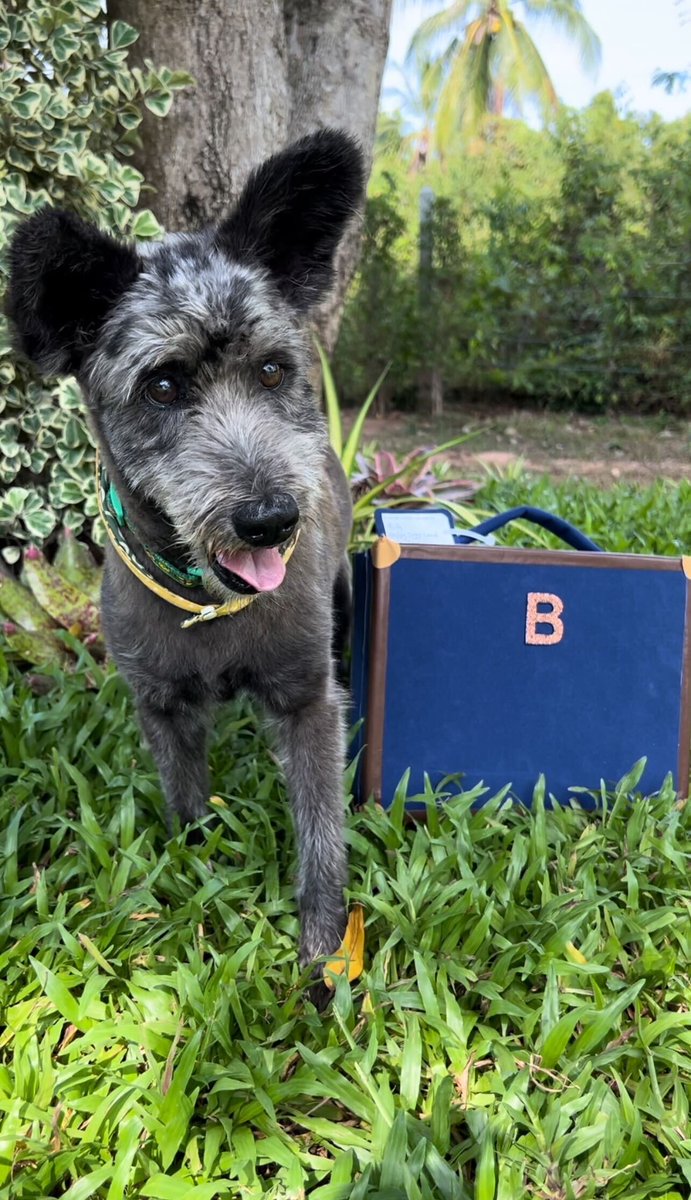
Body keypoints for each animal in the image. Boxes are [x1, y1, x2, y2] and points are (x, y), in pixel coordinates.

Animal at [8, 129, 364, 984]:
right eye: (163, 386)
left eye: (272, 369)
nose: (271, 519)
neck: (210, 605)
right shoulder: (161, 706)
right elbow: (186, 807)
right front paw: (198, 871)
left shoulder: (308, 702)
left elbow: (321, 834)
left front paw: (323, 949)